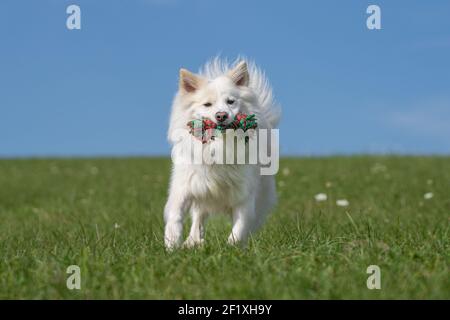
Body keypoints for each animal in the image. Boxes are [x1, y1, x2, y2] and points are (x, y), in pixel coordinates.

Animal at [163, 58, 280, 250]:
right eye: (207, 104)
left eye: (230, 101)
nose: (221, 115)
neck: (219, 146)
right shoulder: (185, 186)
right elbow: (176, 215)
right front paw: (172, 244)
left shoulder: (243, 194)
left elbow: (240, 226)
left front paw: (232, 248)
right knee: (198, 217)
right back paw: (193, 241)